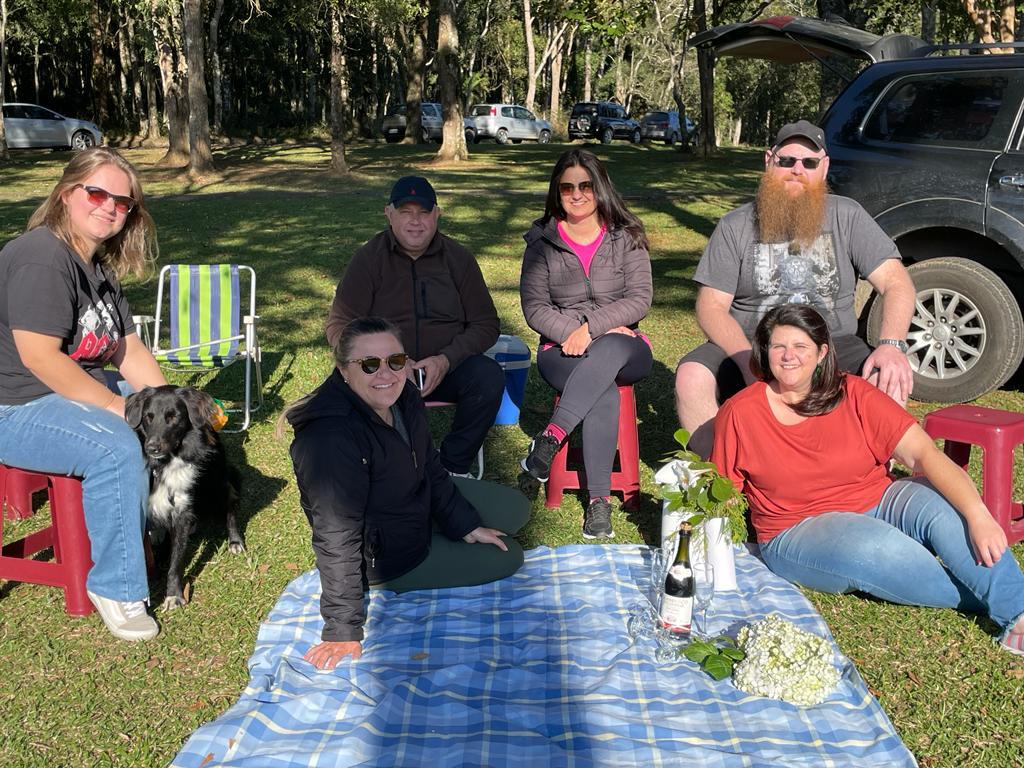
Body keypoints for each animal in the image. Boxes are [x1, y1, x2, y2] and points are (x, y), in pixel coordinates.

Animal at [123, 387, 241, 610]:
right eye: (148, 417)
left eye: (173, 417)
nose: (152, 448)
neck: (164, 465)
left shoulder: (182, 513)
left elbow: (176, 562)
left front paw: (173, 595)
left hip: (218, 483)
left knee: (231, 506)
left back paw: (235, 541)